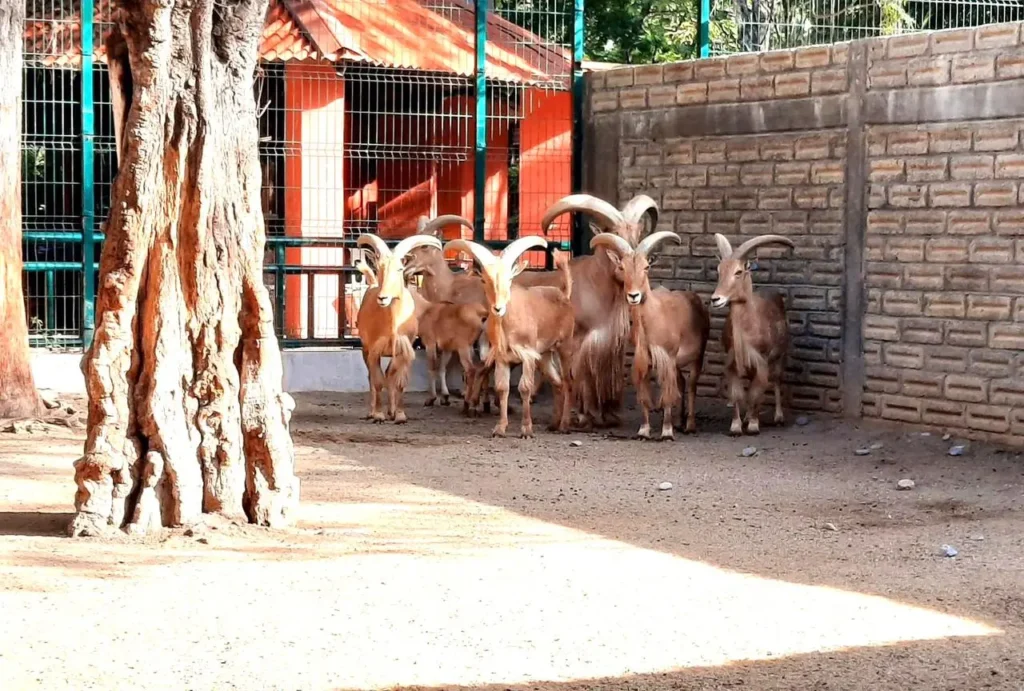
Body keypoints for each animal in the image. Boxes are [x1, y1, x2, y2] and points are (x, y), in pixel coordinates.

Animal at [354, 232, 442, 423]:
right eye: (379, 268)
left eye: (400, 269)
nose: (383, 297)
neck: (393, 323)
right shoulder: (374, 350)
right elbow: (378, 381)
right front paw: (378, 414)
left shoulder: (405, 349)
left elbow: (399, 382)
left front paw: (400, 415)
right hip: (365, 348)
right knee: (372, 378)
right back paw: (372, 411)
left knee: (390, 375)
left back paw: (392, 411)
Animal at [445, 236, 575, 438]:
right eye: (484, 280)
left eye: (509, 278)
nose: (498, 308)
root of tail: (564, 295)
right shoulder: (501, 357)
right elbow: (502, 388)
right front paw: (500, 428)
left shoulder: (528, 355)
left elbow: (524, 388)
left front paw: (526, 429)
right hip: (545, 355)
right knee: (557, 383)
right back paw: (554, 424)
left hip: (564, 347)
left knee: (568, 382)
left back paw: (564, 426)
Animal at [591, 231, 711, 440]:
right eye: (622, 267)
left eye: (646, 267)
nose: (634, 296)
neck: (653, 321)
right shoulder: (643, 360)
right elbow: (644, 396)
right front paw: (644, 431)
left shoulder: (667, 358)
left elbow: (667, 395)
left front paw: (667, 432)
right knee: (682, 382)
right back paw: (679, 421)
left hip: (698, 355)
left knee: (692, 385)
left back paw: (689, 425)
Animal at [710, 233, 795, 436]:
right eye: (719, 270)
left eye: (738, 272)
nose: (716, 299)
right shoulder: (733, 360)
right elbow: (737, 393)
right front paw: (736, 426)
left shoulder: (761, 360)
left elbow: (757, 393)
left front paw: (754, 425)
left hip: (780, 355)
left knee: (777, 380)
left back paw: (778, 417)